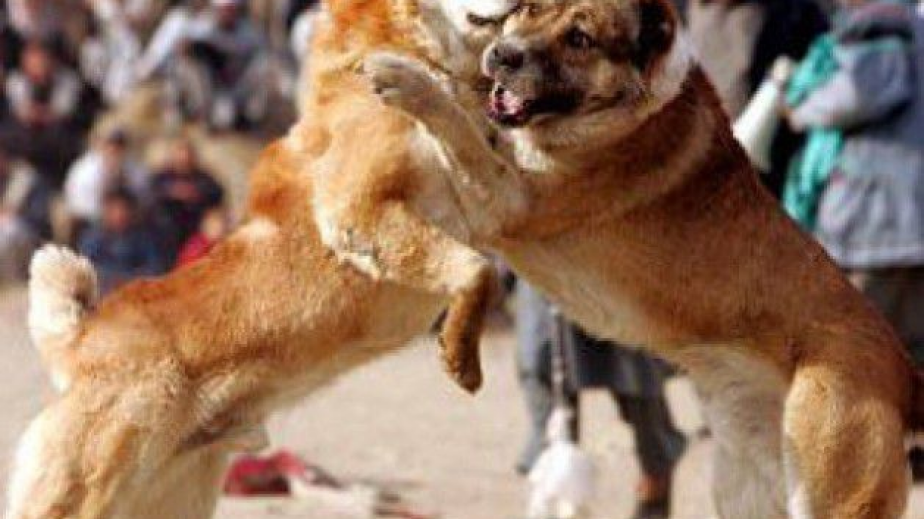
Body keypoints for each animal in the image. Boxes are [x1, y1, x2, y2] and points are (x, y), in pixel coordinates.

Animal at [5, 1, 518, 518]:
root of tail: (79, 336)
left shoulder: (493, 203)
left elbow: (470, 162)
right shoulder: (354, 209)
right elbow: (476, 268)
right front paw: (460, 356)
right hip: (94, 486)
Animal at [362, 0, 924, 517]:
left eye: (580, 39)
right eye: (530, 9)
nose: (502, 55)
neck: (622, 113)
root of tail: (905, 372)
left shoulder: (508, 201)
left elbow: (460, 129)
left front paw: (408, 80)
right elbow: (471, 118)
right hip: (747, 488)